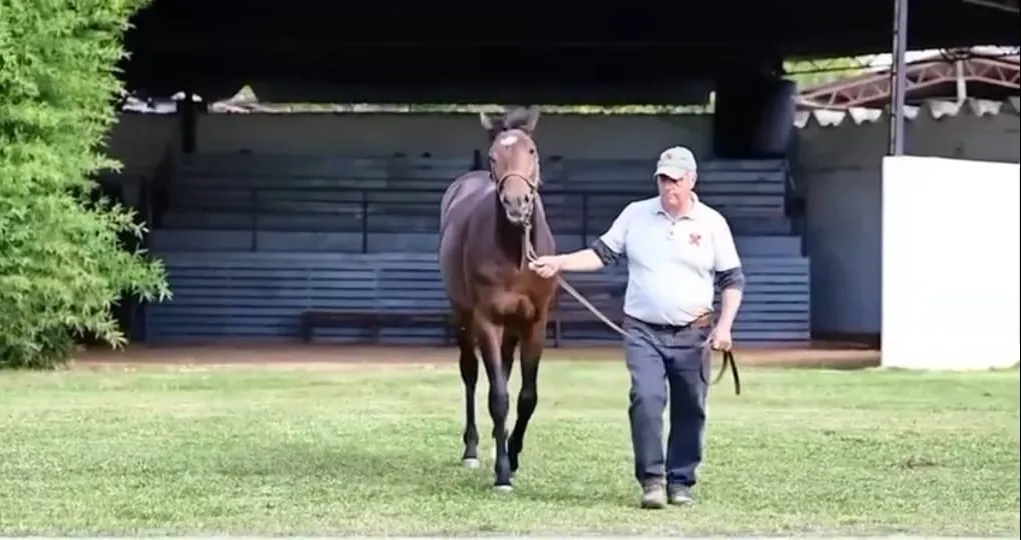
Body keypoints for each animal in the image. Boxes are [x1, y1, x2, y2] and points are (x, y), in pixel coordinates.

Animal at [434, 106, 555, 492]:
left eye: (531, 150)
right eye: (493, 156)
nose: (517, 204)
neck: (516, 254)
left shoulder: (535, 323)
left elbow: (527, 397)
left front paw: (512, 458)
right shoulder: (486, 320)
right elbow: (498, 398)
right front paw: (502, 474)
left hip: (512, 327)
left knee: (501, 369)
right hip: (463, 316)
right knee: (472, 375)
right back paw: (472, 449)